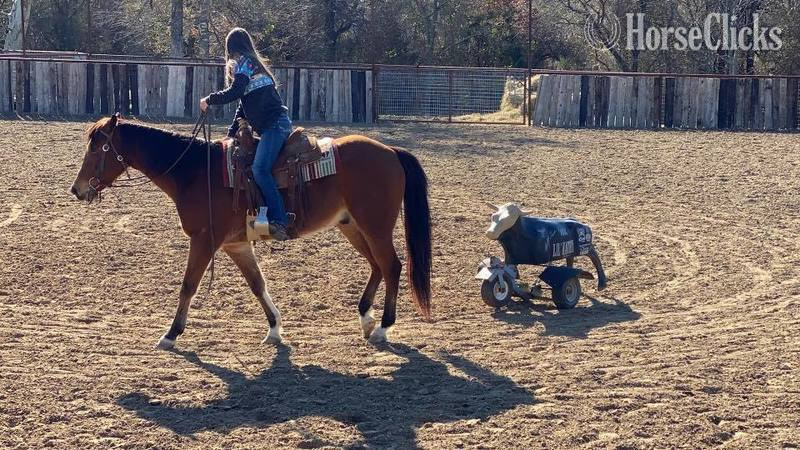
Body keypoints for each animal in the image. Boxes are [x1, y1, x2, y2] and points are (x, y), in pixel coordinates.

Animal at [70, 114, 432, 349]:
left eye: (96, 148)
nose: (77, 189)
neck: (196, 171)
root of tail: (391, 152)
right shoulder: (236, 246)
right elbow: (257, 285)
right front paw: (274, 330)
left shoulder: (204, 240)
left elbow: (188, 286)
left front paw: (171, 335)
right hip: (352, 226)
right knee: (376, 266)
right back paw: (366, 319)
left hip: (375, 226)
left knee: (391, 266)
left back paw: (383, 328)